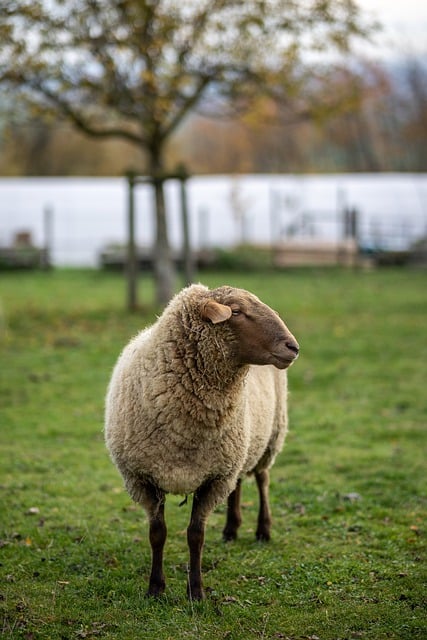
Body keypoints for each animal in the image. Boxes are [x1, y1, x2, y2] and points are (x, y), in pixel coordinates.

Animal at [105, 284, 300, 600]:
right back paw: (231, 529)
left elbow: (196, 536)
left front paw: (196, 591)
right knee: (240, 482)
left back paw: (263, 529)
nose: (293, 347)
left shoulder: (213, 479)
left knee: (262, 479)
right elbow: (157, 534)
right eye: (236, 312)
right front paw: (155, 588)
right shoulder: (144, 479)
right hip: (239, 449)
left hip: (271, 436)